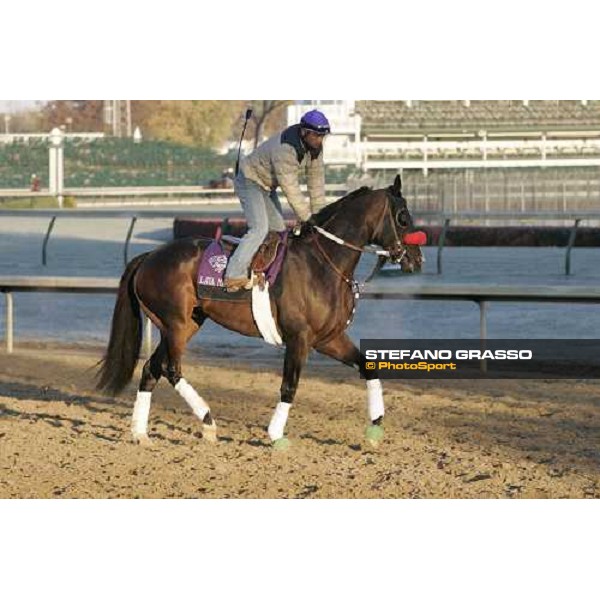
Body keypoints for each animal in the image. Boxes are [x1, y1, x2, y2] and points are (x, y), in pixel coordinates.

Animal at [96, 173, 424, 446]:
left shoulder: (328, 339)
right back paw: (208, 422)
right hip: (174, 323)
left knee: (151, 369)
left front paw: (375, 428)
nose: (417, 259)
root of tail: (149, 256)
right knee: (171, 369)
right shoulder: (299, 338)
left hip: (185, 324)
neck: (322, 264)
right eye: (403, 217)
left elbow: (368, 367)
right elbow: (289, 386)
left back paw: (140, 433)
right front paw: (276, 435)